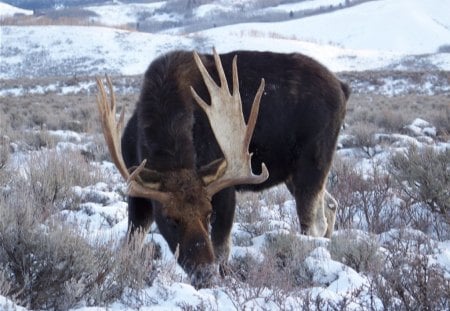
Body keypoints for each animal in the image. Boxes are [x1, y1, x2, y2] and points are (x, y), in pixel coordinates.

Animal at [96, 47, 350, 288]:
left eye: (208, 213)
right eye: (170, 218)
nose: (204, 273)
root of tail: (343, 88)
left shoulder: (225, 189)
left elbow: (221, 250)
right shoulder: (137, 190)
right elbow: (130, 246)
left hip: (313, 161)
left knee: (313, 223)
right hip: (292, 174)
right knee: (330, 205)